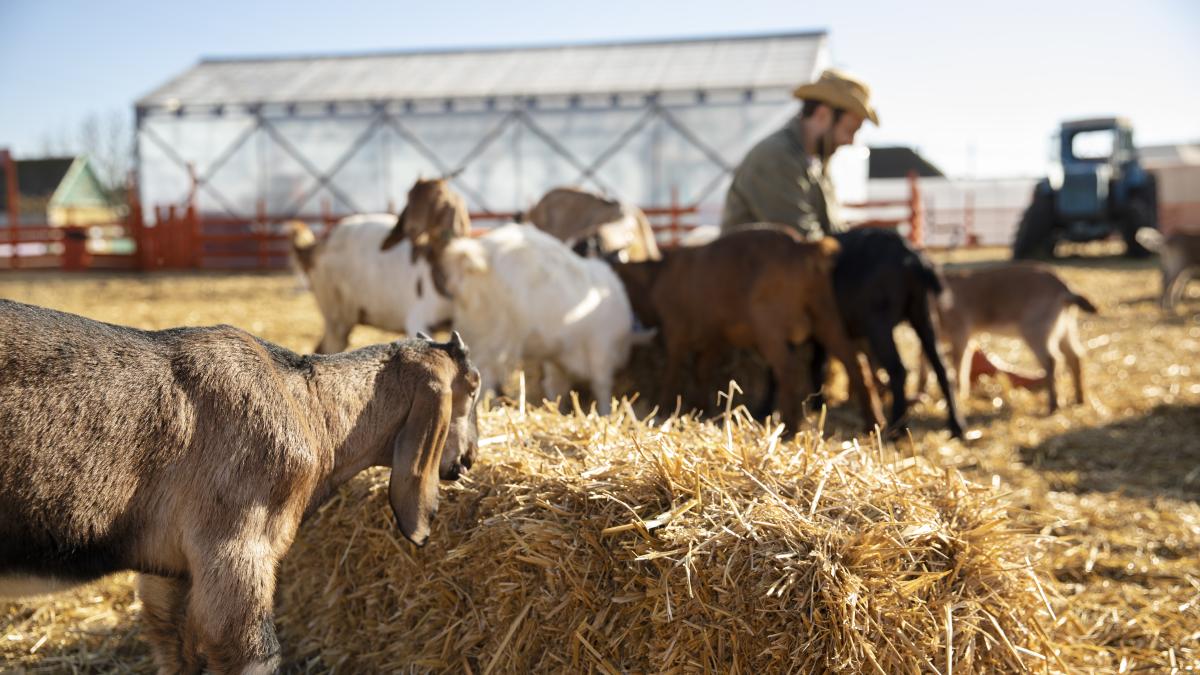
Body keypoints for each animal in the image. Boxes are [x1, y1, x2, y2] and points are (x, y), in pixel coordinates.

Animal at [0, 299, 480, 673]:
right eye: (472, 389)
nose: (470, 457)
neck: (309, 407)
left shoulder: (169, 570)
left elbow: (176, 650)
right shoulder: (235, 546)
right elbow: (253, 654)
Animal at [440, 223, 652, 414]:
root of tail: (475, 255)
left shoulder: (558, 359)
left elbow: (556, 387)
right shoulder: (601, 348)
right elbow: (602, 386)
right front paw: (605, 413)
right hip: (496, 335)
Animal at [612, 226, 886, 434]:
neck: (659, 276)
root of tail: (802, 248)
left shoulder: (675, 331)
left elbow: (672, 371)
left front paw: (663, 408)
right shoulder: (715, 339)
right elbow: (702, 370)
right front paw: (701, 409)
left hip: (769, 326)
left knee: (788, 368)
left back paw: (789, 426)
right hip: (827, 315)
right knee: (856, 364)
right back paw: (874, 422)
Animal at [812, 227, 966, 439]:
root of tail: (911, 256)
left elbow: (817, 364)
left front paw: (816, 404)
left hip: (879, 323)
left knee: (898, 368)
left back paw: (897, 428)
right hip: (923, 314)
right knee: (941, 367)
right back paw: (956, 425)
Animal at [919, 264, 1097, 414]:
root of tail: (1064, 288)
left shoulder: (961, 333)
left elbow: (959, 365)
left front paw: (957, 395)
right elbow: (924, 361)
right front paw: (921, 393)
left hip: (1036, 330)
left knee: (1052, 359)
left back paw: (1053, 405)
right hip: (1065, 327)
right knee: (1075, 355)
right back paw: (1079, 400)